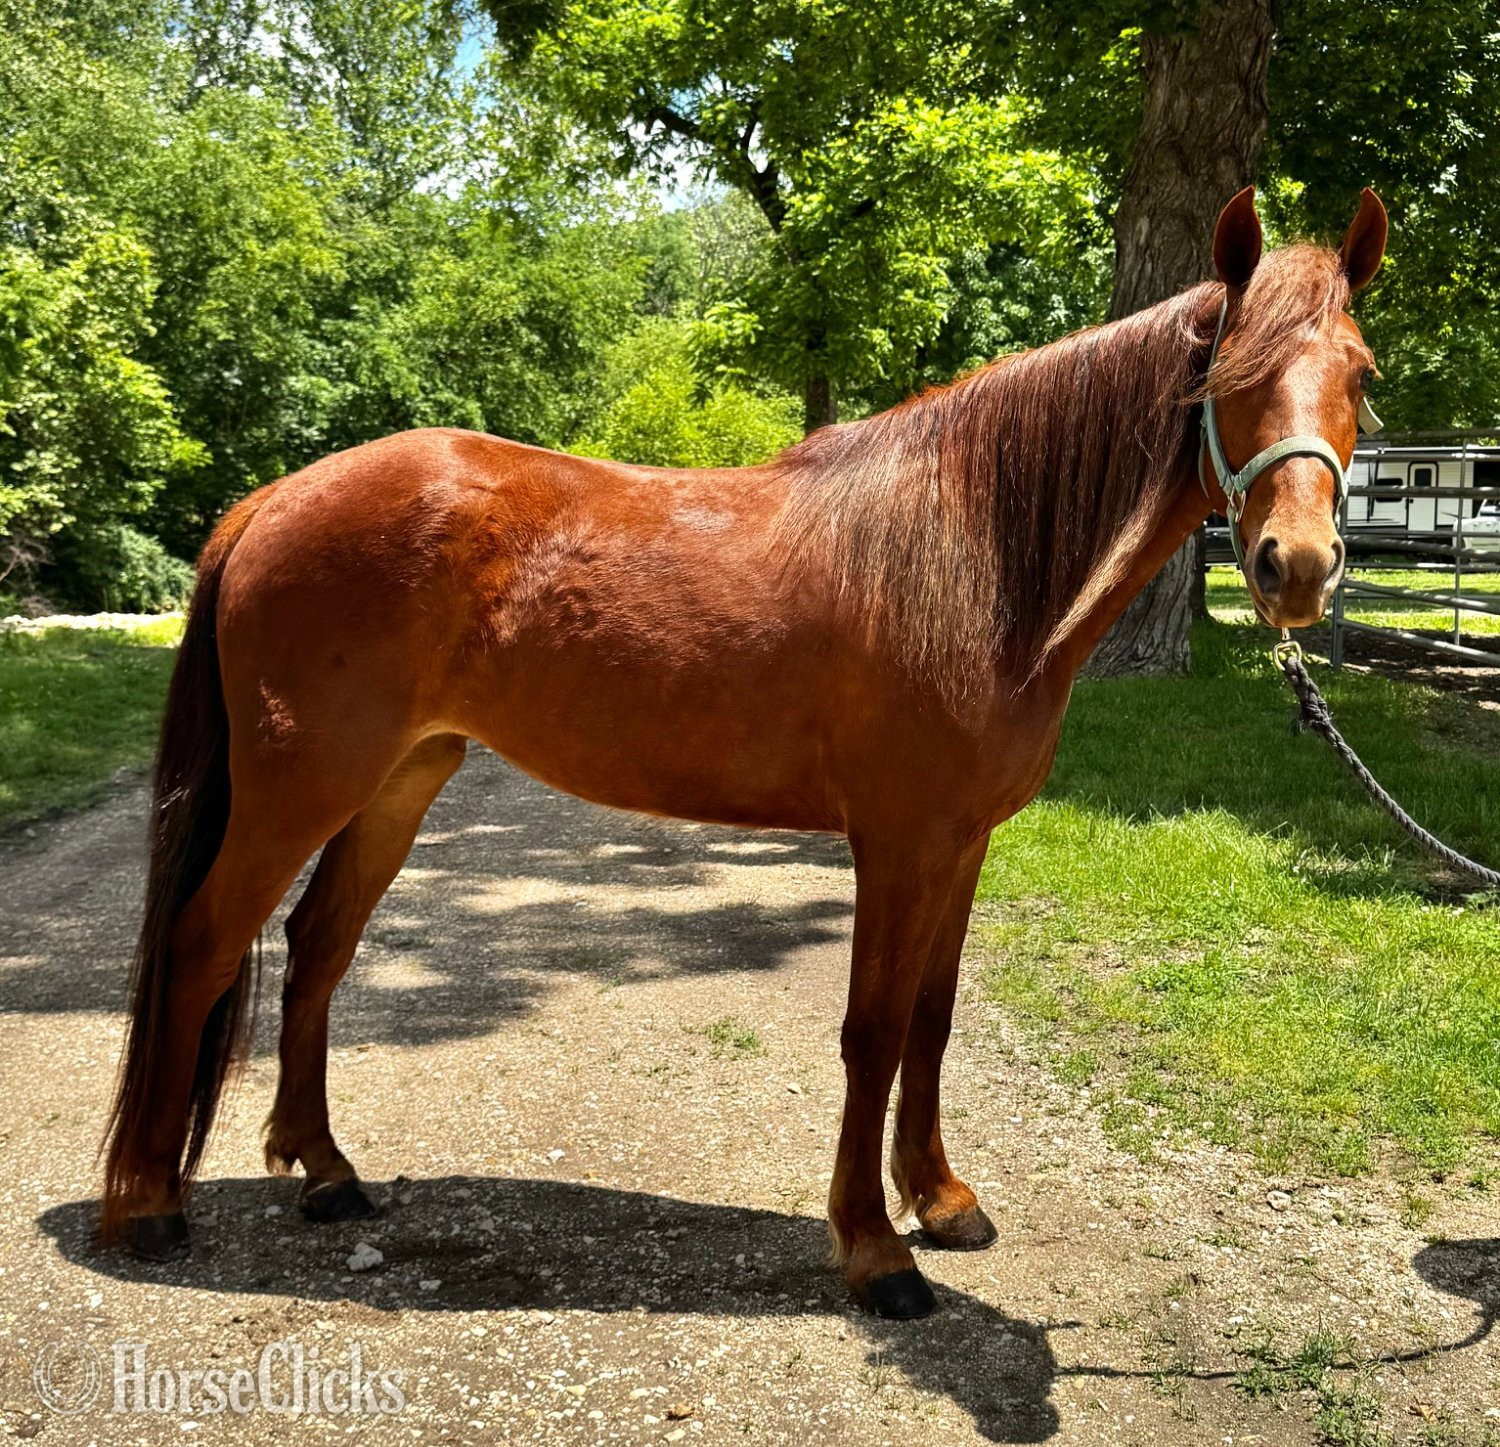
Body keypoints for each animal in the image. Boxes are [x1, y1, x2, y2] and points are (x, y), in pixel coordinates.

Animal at [101, 185, 1387, 1319]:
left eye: (1363, 372)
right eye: (1226, 375)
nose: (1296, 566)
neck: (970, 554)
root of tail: (269, 502)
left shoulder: (963, 842)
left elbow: (932, 1020)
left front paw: (941, 1199)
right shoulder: (898, 840)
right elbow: (872, 1031)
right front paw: (875, 1251)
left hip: (397, 783)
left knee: (317, 948)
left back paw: (324, 1171)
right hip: (300, 787)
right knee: (204, 942)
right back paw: (149, 1202)